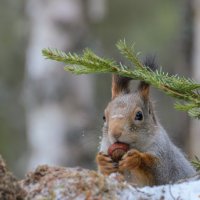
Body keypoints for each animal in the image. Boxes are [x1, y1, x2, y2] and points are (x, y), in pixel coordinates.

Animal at [96, 57, 196, 186]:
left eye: (139, 115)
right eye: (104, 117)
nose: (115, 133)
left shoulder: (164, 160)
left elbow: (156, 170)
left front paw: (136, 159)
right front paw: (102, 162)